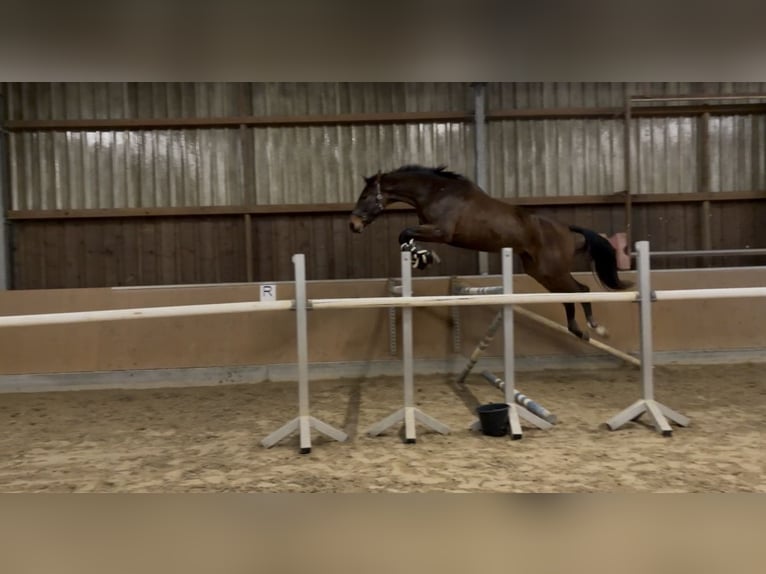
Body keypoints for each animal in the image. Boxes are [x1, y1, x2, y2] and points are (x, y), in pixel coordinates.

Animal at [348, 164, 632, 340]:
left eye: (364, 197)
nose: (354, 225)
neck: (436, 192)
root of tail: (566, 229)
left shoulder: (441, 231)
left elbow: (404, 233)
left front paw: (423, 258)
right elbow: (405, 236)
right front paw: (421, 257)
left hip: (552, 270)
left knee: (581, 290)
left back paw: (597, 328)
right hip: (541, 272)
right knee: (568, 295)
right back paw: (579, 331)